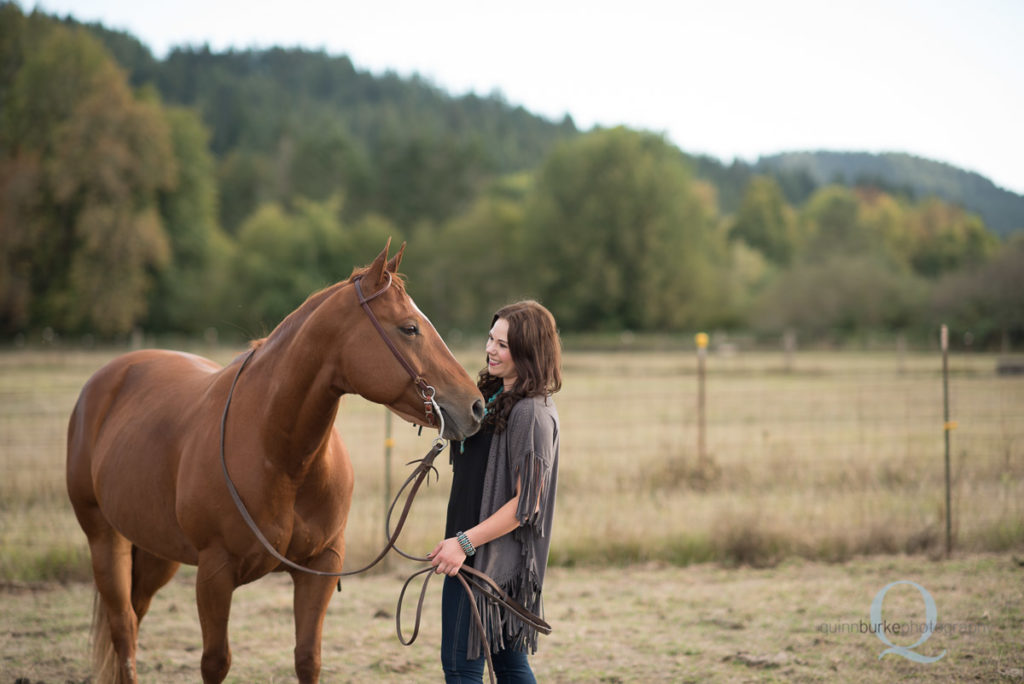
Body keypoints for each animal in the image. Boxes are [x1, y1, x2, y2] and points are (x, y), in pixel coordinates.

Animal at [67, 241, 483, 684]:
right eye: (409, 328)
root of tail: (109, 377)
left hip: (156, 552)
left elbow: (308, 658)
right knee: (124, 628)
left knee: (135, 615)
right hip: (105, 540)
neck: (281, 456)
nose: (476, 406)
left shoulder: (321, 566)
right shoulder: (214, 574)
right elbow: (215, 662)